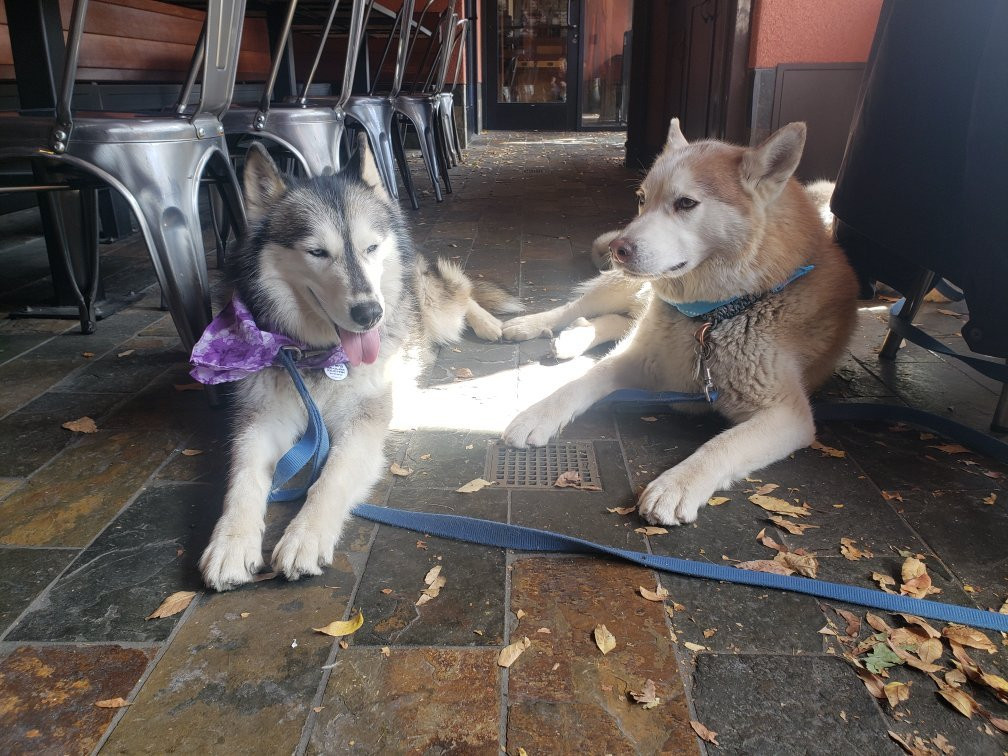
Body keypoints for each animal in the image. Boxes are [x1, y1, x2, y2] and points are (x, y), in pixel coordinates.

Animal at [199, 137, 518, 591]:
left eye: (371, 248)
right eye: (317, 252)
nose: (370, 314)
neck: (315, 357)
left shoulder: (364, 418)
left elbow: (331, 476)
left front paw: (305, 535)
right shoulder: (261, 417)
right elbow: (243, 477)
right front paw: (231, 543)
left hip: (430, 300)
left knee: (461, 294)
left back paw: (489, 323)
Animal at [500, 119, 858, 526]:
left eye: (686, 203)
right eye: (642, 199)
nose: (619, 248)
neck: (711, 317)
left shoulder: (788, 414)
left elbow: (724, 443)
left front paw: (678, 483)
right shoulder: (638, 359)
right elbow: (579, 382)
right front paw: (538, 413)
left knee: (621, 321)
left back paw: (574, 336)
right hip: (627, 287)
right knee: (581, 307)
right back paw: (532, 325)